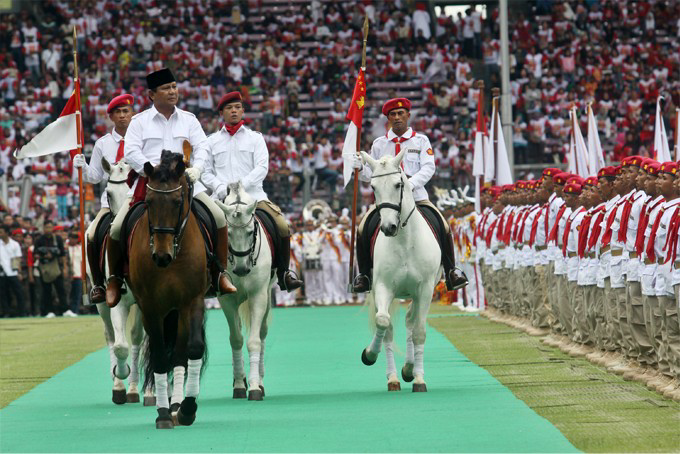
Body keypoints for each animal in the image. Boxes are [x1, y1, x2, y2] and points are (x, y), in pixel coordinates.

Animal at [85, 159, 153, 404]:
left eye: (134, 192)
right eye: (108, 193)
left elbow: (140, 339)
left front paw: (146, 390)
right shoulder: (117, 300)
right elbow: (121, 345)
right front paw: (121, 376)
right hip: (101, 302)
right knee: (111, 336)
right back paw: (119, 386)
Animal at [129, 152, 209, 430]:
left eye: (177, 202)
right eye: (149, 202)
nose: (161, 256)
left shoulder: (193, 300)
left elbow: (192, 349)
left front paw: (187, 408)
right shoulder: (150, 308)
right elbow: (161, 357)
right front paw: (163, 414)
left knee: (181, 354)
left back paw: (177, 406)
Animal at [215, 181, 274, 400]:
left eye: (250, 232)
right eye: (228, 233)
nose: (241, 269)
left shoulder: (258, 295)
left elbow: (254, 342)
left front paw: (255, 386)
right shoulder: (226, 300)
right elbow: (236, 340)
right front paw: (240, 384)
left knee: (263, 333)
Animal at [356, 151, 440, 392]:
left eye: (398, 184)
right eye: (373, 186)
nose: (387, 228)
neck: (404, 240)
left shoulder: (426, 289)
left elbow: (419, 331)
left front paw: (419, 378)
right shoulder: (383, 287)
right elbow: (383, 322)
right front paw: (370, 354)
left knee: (411, 323)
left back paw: (410, 369)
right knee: (391, 328)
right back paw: (394, 377)